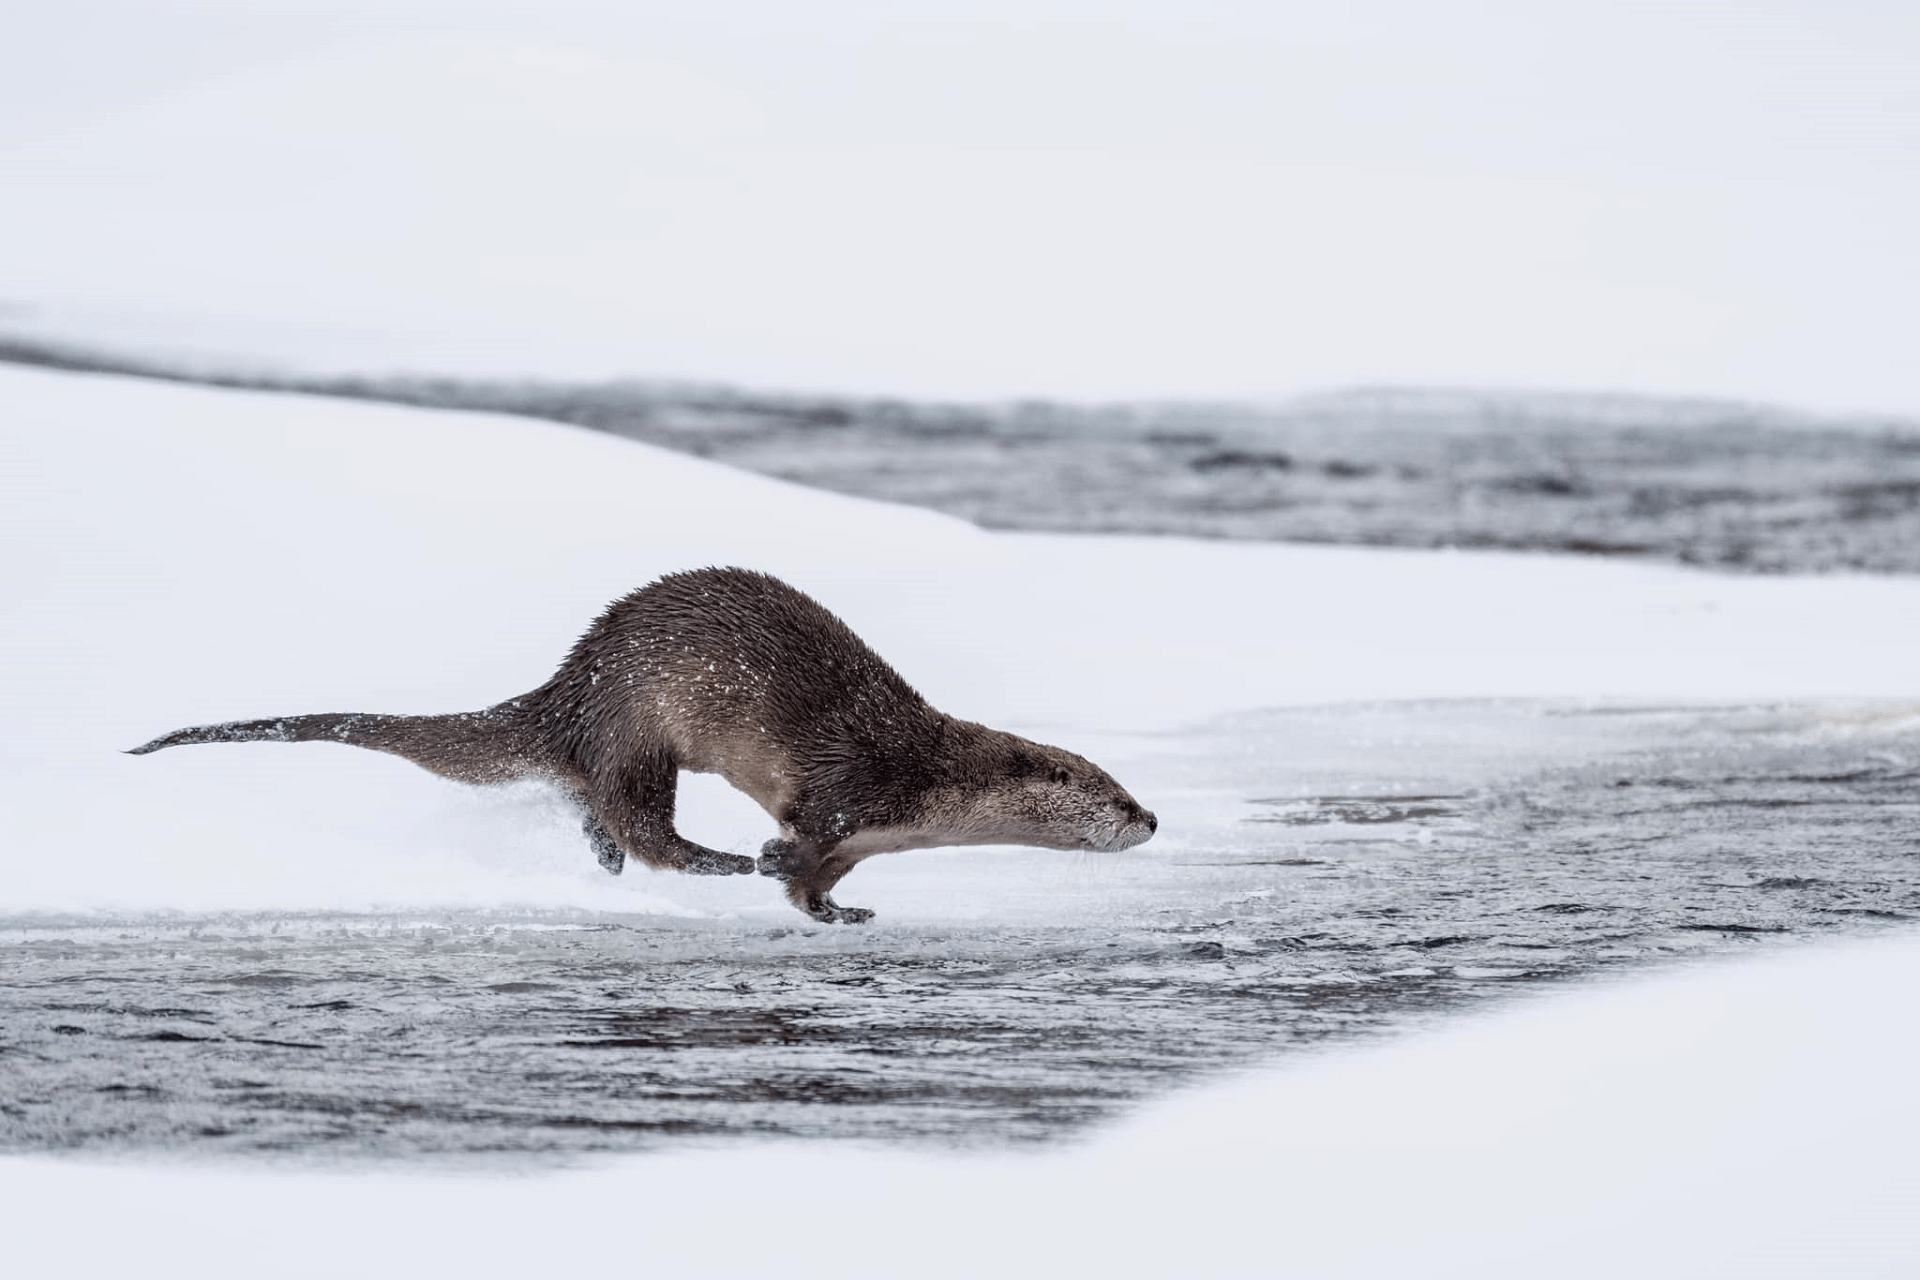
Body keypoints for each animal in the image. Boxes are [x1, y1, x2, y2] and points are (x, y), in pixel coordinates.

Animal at [129, 567, 1156, 922]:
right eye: (1111, 792)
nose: (1151, 818)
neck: (927, 782)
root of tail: (568, 687)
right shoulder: (849, 791)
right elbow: (798, 851)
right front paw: (772, 866)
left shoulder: (860, 840)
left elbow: (817, 886)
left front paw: (844, 914)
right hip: (639, 727)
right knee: (642, 823)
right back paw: (714, 860)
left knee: (599, 813)